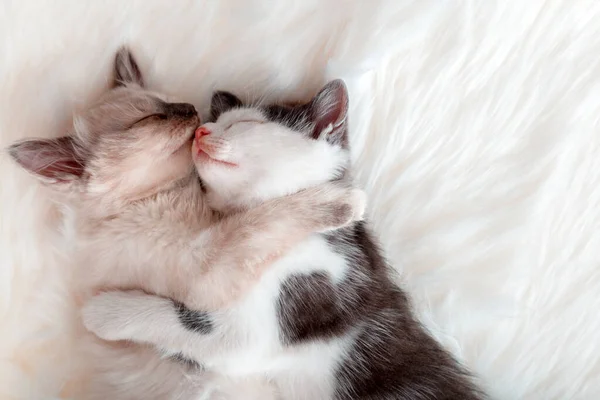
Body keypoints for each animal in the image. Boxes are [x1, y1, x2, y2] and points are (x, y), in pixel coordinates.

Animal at [9, 47, 364, 400]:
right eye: (149, 119)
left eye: (169, 101)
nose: (189, 109)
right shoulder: (203, 269)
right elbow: (264, 219)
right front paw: (342, 200)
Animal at [83, 79, 488, 398]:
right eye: (215, 121)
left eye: (244, 123)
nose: (201, 131)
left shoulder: (295, 300)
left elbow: (189, 322)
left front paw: (106, 311)